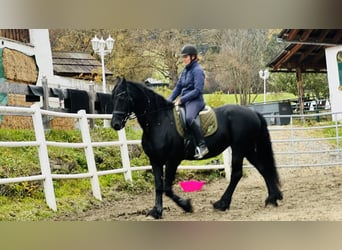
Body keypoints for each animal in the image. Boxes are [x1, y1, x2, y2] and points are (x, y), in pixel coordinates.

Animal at [111, 77, 282, 219]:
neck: (159, 122)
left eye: (122, 96)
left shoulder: (172, 160)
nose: (115, 124)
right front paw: (157, 211)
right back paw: (272, 198)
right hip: (248, 149)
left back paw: (222, 203)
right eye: (113, 96)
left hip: (239, 148)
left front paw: (186, 206)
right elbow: (159, 186)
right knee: (263, 169)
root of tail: (253, 112)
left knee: (237, 174)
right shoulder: (155, 160)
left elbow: (167, 188)